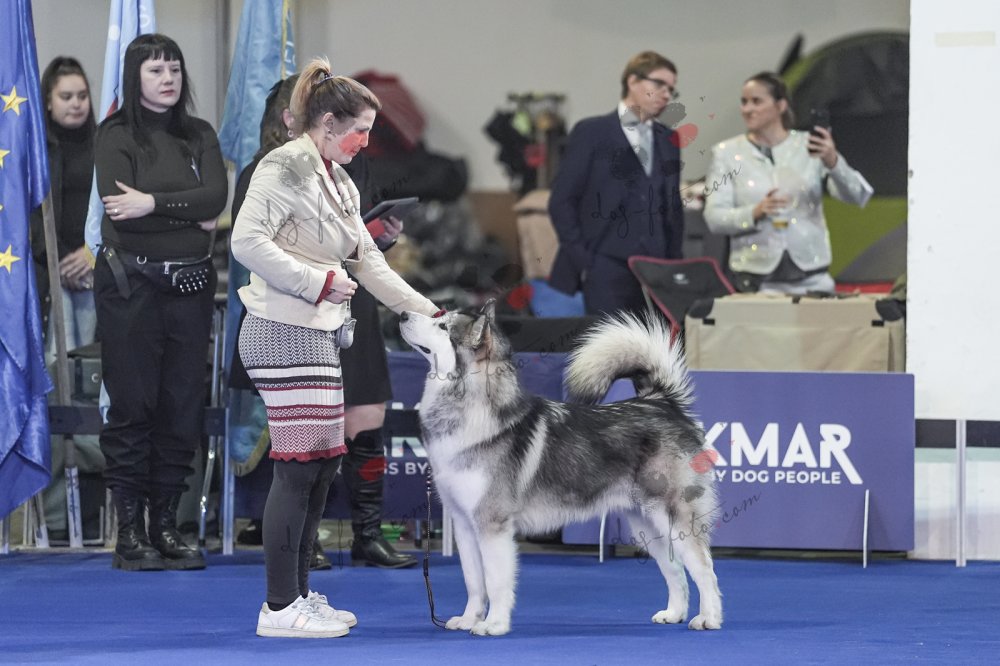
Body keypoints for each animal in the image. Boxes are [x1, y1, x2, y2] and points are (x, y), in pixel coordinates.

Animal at [399, 301, 723, 636]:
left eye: (442, 327)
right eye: (439, 317)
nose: (403, 315)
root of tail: (660, 403)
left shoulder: (493, 525)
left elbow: (496, 582)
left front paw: (495, 624)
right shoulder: (464, 525)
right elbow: (474, 582)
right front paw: (469, 619)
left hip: (673, 517)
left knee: (704, 569)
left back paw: (708, 618)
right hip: (647, 525)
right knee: (675, 570)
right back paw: (674, 613)